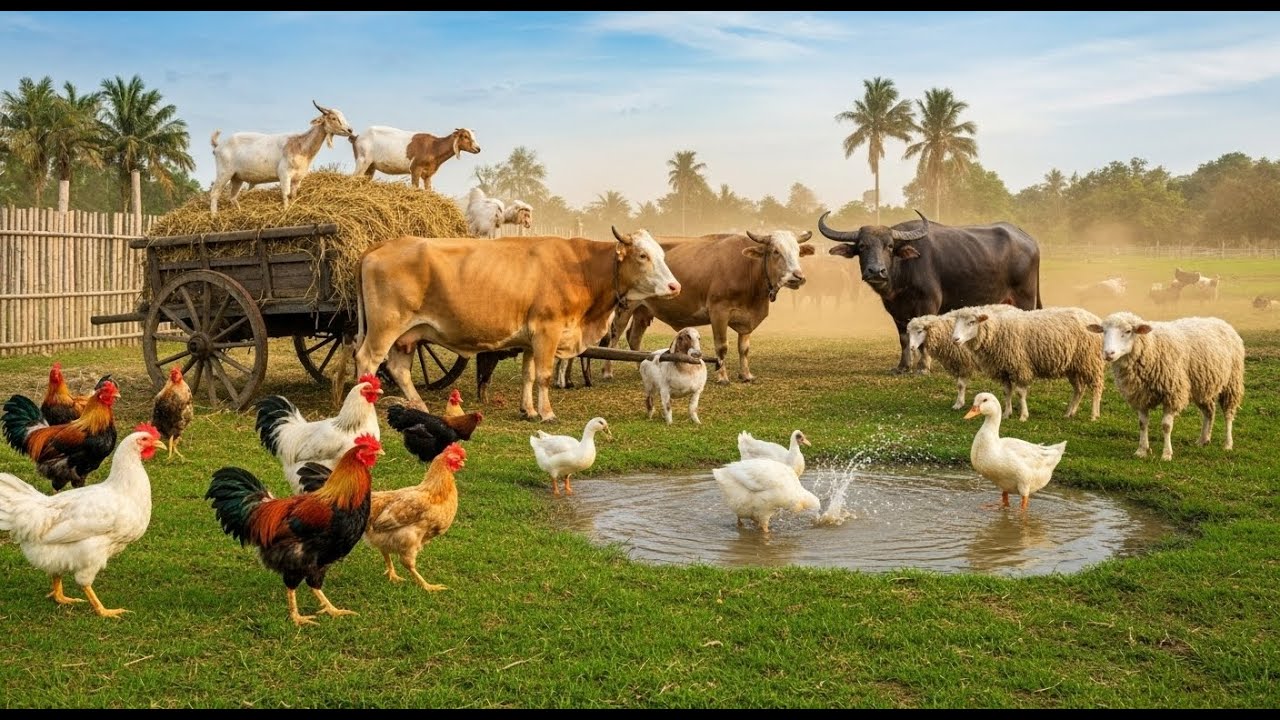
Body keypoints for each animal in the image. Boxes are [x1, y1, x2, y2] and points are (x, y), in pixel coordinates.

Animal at [208, 100, 354, 214]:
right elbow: (286, 194)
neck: (300, 145)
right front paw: (285, 211)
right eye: (333, 118)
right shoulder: (284, 174)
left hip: (237, 177)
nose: (350, 130)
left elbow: (293, 195)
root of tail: (218, 145)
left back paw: (239, 213)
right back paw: (214, 216)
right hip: (224, 172)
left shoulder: (297, 179)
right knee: (214, 193)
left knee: (233, 197)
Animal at [351, 126, 480, 191]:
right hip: (362, 160)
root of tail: (357, 137)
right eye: (465, 136)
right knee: (353, 177)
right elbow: (415, 188)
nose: (478, 148)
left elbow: (428, 191)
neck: (433, 147)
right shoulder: (415, 168)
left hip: (371, 166)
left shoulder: (427, 175)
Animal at [950, 305, 1106, 422]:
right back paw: (1069, 413)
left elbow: (1020, 393)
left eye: (971, 322)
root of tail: (1094, 317)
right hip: (1074, 366)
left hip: (1091, 361)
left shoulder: (1020, 366)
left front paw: (1023, 416)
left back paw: (1094, 414)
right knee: (1079, 389)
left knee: (1096, 387)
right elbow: (1007, 391)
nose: (955, 339)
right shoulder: (1004, 369)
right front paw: (1007, 413)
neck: (996, 330)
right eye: (956, 323)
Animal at [1086, 311, 1244, 461]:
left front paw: (1167, 454)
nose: (1108, 353)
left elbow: (1166, 426)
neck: (1152, 346)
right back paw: (1203, 439)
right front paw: (1141, 450)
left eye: (1128, 331)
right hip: (1202, 385)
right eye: (1104, 331)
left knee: (1228, 413)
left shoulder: (1172, 394)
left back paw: (1227, 444)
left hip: (1232, 382)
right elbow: (1142, 423)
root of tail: (1221, 321)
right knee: (1209, 411)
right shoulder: (1140, 395)